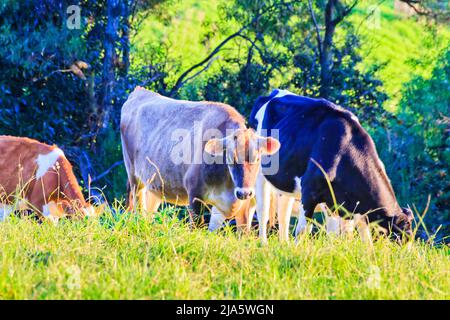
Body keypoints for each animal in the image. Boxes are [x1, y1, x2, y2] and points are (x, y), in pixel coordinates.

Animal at [121, 86, 280, 224]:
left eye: (257, 158)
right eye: (230, 158)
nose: (244, 193)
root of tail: (140, 92)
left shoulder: (244, 208)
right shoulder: (195, 195)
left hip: (154, 184)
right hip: (134, 177)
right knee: (137, 208)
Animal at [251, 88, 414, 242]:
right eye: (399, 239)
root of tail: (273, 93)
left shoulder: (343, 206)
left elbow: (352, 237)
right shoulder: (309, 192)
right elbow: (303, 231)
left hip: (286, 183)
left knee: (283, 214)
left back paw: (284, 244)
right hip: (258, 172)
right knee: (263, 211)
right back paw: (264, 244)